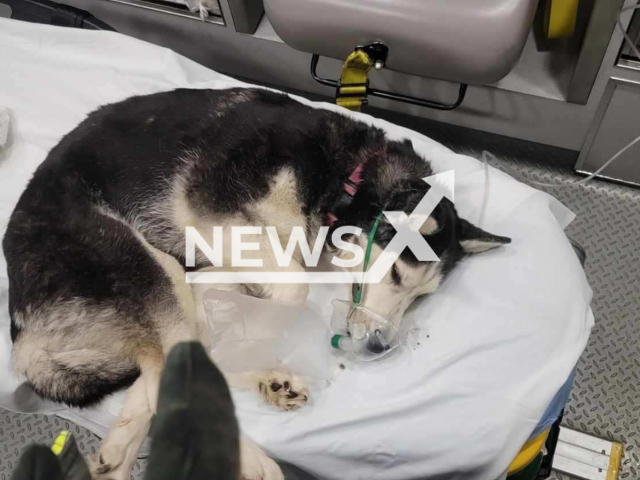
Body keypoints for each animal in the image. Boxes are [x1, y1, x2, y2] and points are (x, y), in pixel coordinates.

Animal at [1, 88, 510, 478]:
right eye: (399, 275)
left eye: (421, 298)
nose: (380, 347)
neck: (349, 178)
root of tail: (23, 330)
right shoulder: (218, 218)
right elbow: (294, 286)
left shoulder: (224, 257)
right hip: (144, 263)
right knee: (172, 364)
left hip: (165, 283)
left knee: (165, 362)